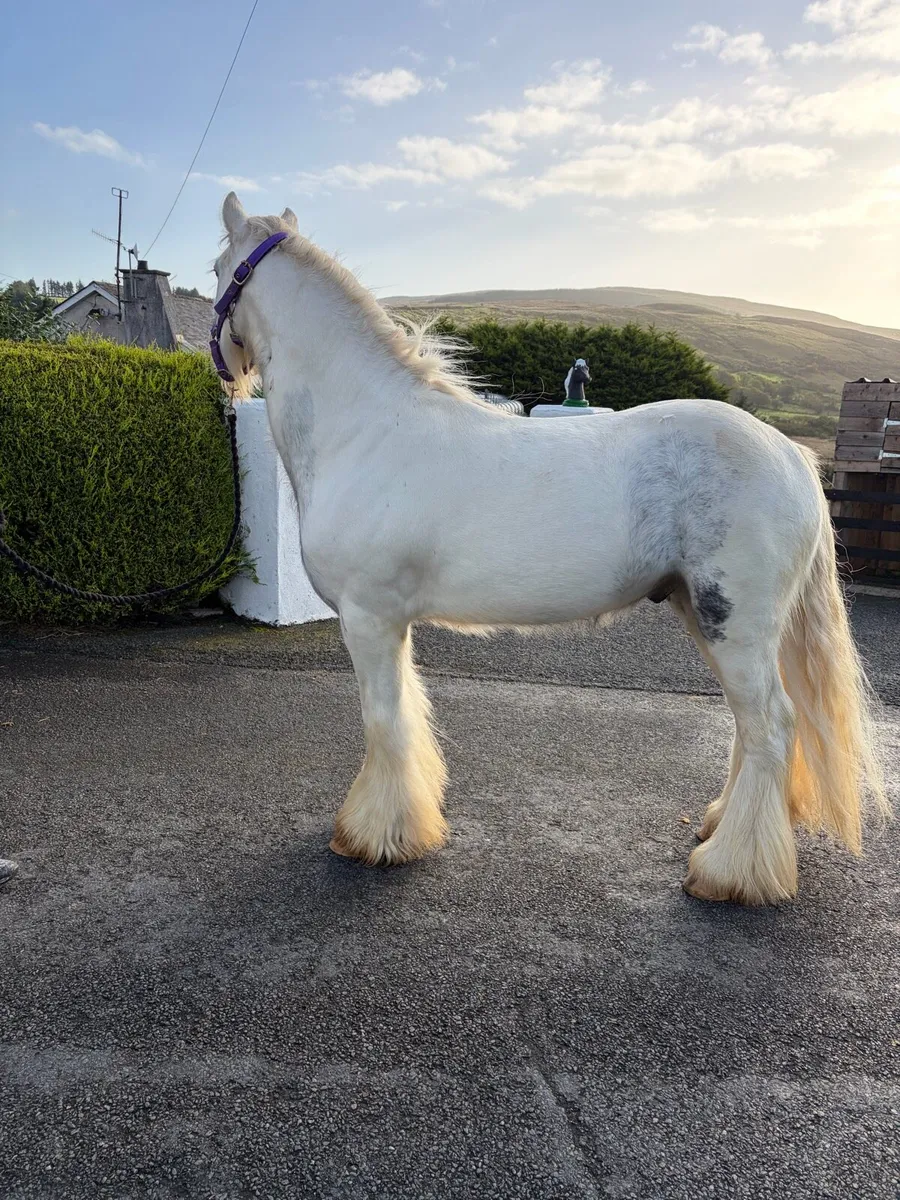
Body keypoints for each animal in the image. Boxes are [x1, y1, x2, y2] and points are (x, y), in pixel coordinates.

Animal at [212, 192, 887, 906]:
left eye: (216, 268)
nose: (224, 369)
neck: (364, 429)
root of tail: (792, 454)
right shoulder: (391, 622)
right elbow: (407, 716)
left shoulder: (368, 618)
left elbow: (384, 721)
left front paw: (374, 838)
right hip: (704, 614)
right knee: (749, 729)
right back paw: (718, 830)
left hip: (736, 624)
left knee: (773, 727)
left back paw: (729, 872)